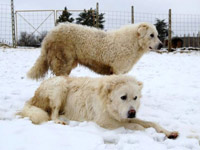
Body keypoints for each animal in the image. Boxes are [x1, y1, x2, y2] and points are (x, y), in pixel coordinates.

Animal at [18, 75, 178, 139]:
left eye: (135, 98)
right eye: (123, 97)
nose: (132, 112)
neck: (108, 103)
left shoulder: (125, 117)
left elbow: (152, 123)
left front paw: (169, 132)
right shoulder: (105, 121)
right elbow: (137, 127)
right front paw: (147, 132)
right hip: (59, 86)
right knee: (52, 114)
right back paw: (59, 121)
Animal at [27, 22, 162, 79]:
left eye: (157, 35)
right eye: (151, 35)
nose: (161, 45)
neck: (133, 43)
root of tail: (49, 35)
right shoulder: (117, 70)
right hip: (62, 62)